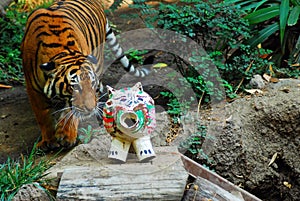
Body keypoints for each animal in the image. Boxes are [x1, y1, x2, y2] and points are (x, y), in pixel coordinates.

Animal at [21, 0, 150, 151]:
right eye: (75, 87)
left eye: (92, 84)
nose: (91, 108)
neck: (62, 51)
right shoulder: (33, 88)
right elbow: (43, 115)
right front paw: (49, 141)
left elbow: (72, 113)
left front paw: (66, 136)